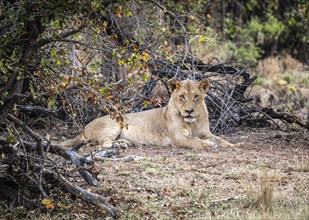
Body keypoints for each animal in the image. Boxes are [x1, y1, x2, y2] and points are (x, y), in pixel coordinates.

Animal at [60, 79, 233, 150]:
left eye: (196, 96)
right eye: (182, 97)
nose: (189, 111)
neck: (193, 122)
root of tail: (84, 127)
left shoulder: (206, 133)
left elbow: (220, 139)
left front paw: (233, 146)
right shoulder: (178, 137)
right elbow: (195, 140)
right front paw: (208, 145)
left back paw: (123, 144)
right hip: (114, 124)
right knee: (102, 144)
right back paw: (119, 146)